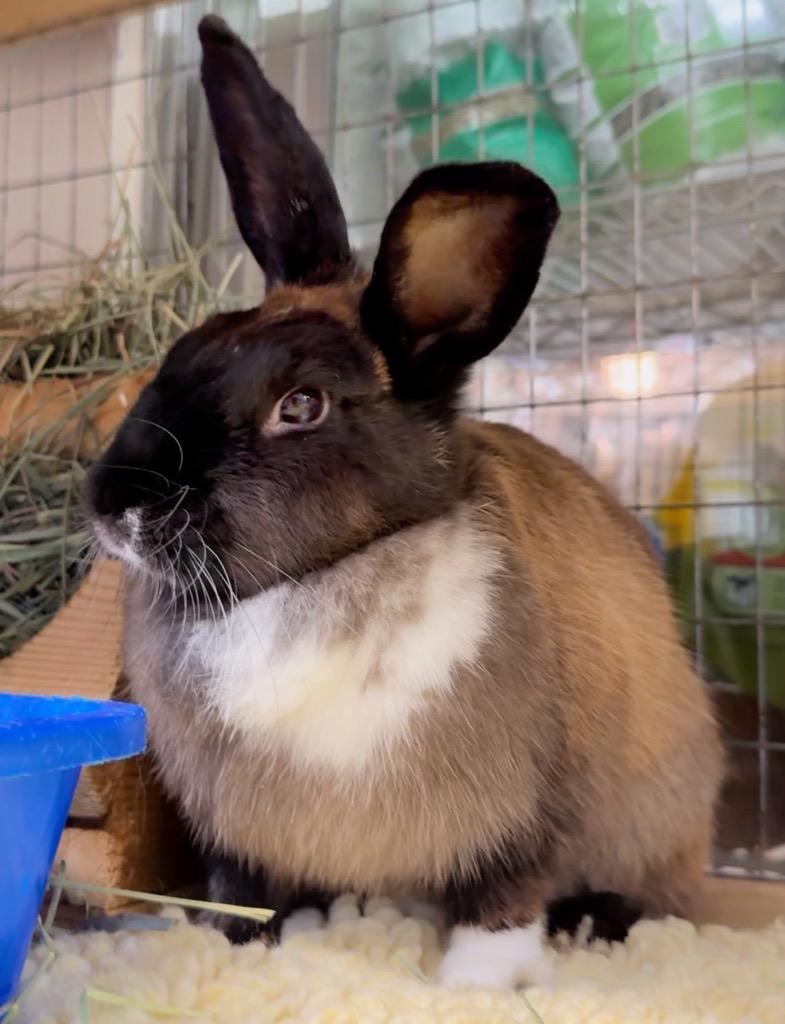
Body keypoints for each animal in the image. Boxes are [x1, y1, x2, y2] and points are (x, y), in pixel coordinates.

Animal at [85, 14, 723, 990]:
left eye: (300, 405)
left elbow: (504, 897)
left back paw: (595, 924)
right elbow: (244, 889)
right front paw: (237, 947)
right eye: (181, 352)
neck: (311, 585)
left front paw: (474, 986)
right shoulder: (235, 832)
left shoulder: (529, 811)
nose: (109, 502)